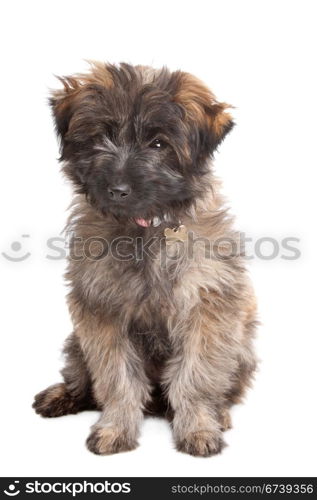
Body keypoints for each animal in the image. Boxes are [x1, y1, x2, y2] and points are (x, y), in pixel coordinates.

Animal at [32, 60, 256, 456]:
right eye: (100, 137)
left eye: (159, 143)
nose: (117, 190)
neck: (145, 230)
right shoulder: (101, 311)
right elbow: (116, 378)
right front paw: (115, 429)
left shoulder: (207, 311)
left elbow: (196, 376)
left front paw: (198, 427)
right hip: (76, 342)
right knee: (80, 378)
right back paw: (63, 396)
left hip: (242, 345)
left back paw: (219, 414)